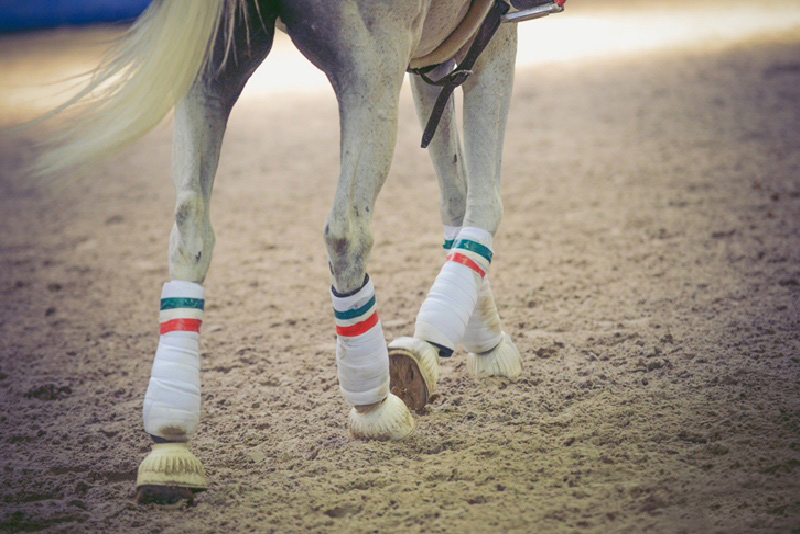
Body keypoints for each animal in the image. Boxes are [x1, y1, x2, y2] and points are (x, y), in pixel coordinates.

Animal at [37, 0, 563, 505]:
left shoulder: (440, 51)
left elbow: (455, 195)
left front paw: (474, 338)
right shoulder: (489, 38)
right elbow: (483, 202)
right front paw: (447, 346)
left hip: (212, 66)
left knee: (189, 231)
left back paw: (170, 448)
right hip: (371, 68)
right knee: (346, 232)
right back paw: (374, 406)